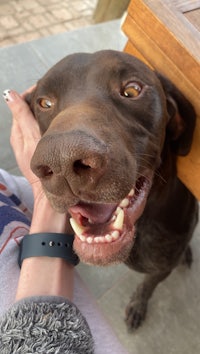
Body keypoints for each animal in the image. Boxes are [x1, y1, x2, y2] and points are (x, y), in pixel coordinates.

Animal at [26, 49, 198, 330]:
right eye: (45, 103)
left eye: (132, 90)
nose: (62, 161)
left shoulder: (161, 266)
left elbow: (148, 286)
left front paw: (138, 305)